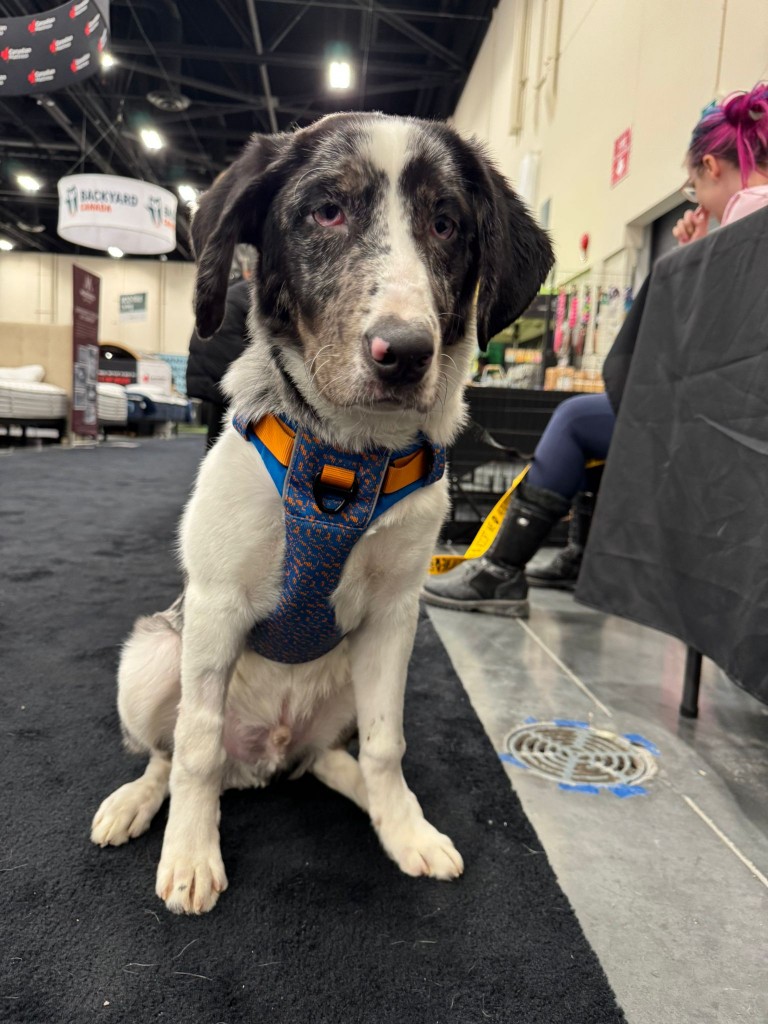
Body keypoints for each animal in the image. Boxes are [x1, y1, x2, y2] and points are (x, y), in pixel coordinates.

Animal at [91, 111, 553, 914]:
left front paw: (403, 825)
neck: (346, 457)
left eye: (446, 223)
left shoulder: (397, 614)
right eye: (326, 211)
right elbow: (197, 742)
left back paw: (364, 794)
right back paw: (137, 802)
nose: (405, 352)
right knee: (169, 752)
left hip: (347, 679)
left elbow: (388, 743)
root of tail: (261, 761)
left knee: (327, 756)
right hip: (151, 657)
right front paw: (191, 853)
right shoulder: (215, 603)